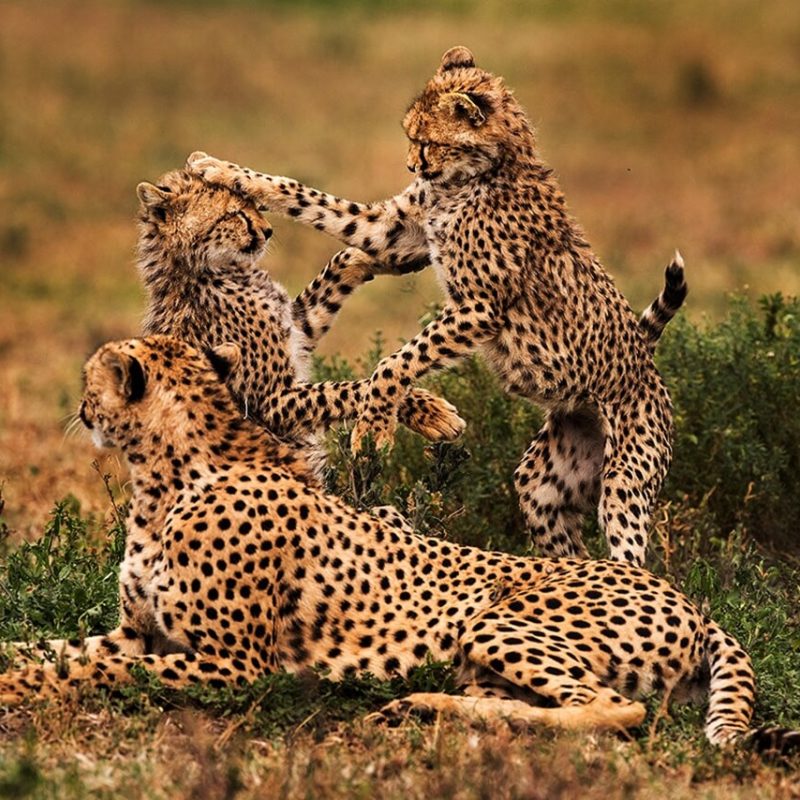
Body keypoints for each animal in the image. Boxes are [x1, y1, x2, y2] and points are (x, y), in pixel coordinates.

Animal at [2, 334, 796, 758]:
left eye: (92, 379)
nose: (77, 405)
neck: (169, 473)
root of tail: (693, 603)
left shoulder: (235, 665)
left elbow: (93, 672)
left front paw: (24, 689)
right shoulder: (138, 631)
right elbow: (51, 651)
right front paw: (18, 667)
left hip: (494, 617)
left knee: (615, 710)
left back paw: (420, 706)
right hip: (482, 658)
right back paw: (422, 707)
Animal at [135, 167, 466, 481]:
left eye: (255, 204)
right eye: (233, 214)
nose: (267, 231)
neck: (201, 271)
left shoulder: (298, 331)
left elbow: (339, 265)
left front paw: (388, 253)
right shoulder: (271, 400)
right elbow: (348, 389)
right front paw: (430, 411)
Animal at [185, 46, 685, 566]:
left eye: (428, 142)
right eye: (412, 137)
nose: (411, 166)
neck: (480, 174)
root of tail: (647, 363)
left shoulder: (479, 308)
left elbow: (395, 362)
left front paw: (373, 430)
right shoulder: (394, 235)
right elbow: (303, 194)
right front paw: (218, 169)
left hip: (625, 477)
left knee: (630, 545)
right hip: (545, 480)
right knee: (558, 526)